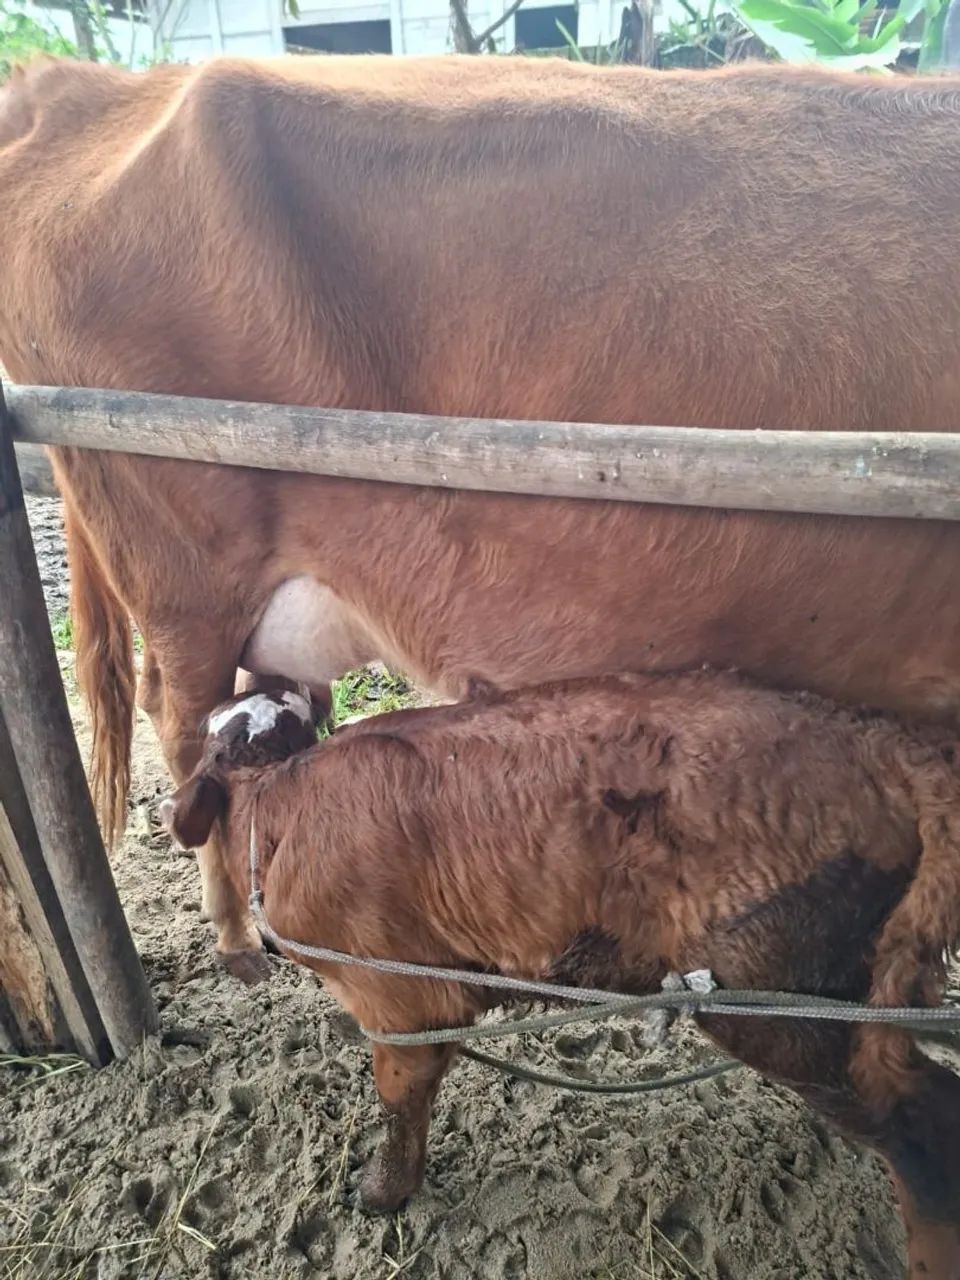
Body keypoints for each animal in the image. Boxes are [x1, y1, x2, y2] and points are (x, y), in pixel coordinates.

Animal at [158, 674, 960, 1280]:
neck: (277, 804)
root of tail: (888, 743)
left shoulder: (397, 996)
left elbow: (400, 1096)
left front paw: (383, 1192)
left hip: (779, 999)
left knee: (923, 1131)